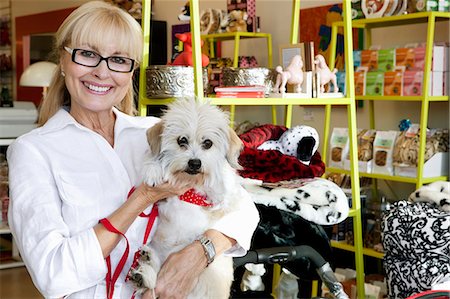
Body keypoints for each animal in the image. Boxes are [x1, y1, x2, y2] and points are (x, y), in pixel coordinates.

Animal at [128, 99, 248, 299]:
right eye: (181, 140)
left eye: (208, 143)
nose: (195, 163)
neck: (190, 186)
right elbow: (153, 161)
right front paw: (154, 170)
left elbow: (225, 181)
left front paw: (221, 181)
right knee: (153, 279)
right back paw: (145, 271)